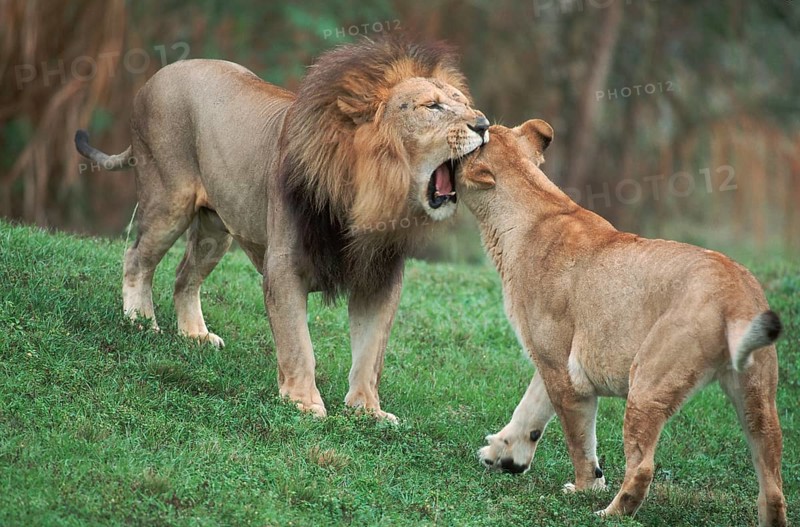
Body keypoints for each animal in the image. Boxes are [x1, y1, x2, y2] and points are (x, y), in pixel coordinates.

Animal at [74, 38, 489, 422]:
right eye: (432, 106)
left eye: (464, 103)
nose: (484, 124)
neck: (371, 194)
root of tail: (157, 76)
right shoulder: (285, 268)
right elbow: (297, 343)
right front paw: (303, 403)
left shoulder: (380, 277)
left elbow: (371, 354)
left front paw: (367, 410)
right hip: (168, 199)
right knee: (136, 257)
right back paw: (141, 321)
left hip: (216, 227)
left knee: (183, 276)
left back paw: (195, 335)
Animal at [457, 120, 786, 526]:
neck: (533, 205)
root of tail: (736, 293)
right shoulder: (550, 358)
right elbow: (530, 409)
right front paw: (503, 455)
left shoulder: (563, 369)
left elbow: (577, 436)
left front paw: (586, 487)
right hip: (757, 395)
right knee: (772, 483)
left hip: (649, 380)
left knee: (643, 466)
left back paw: (608, 512)